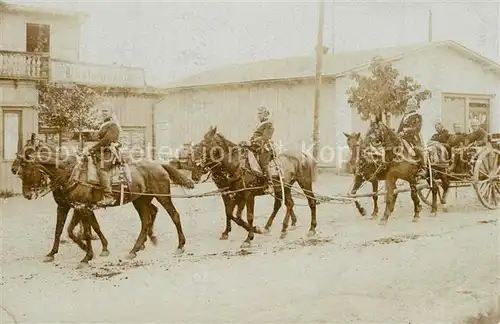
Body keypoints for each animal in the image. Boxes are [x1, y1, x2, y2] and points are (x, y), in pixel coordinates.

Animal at [12, 133, 193, 268]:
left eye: (26, 171)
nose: (27, 194)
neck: (70, 172)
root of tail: (159, 164)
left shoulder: (81, 207)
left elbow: (85, 231)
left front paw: (87, 255)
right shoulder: (68, 207)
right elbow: (64, 230)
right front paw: (52, 253)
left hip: (162, 197)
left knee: (173, 215)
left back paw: (180, 245)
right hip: (140, 200)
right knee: (147, 219)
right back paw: (137, 248)